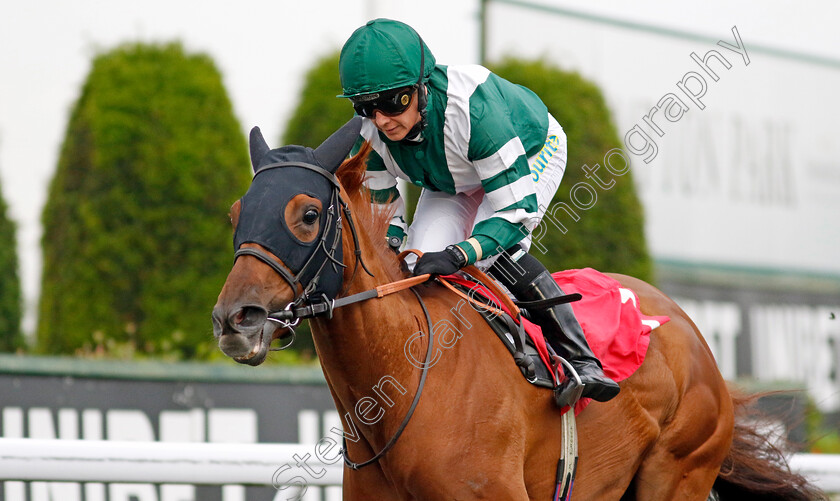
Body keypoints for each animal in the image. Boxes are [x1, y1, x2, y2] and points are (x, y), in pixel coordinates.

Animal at [213, 118, 824, 500]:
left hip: (678, 471)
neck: (407, 382)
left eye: (308, 214)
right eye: (236, 213)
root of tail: (691, 333)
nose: (234, 320)